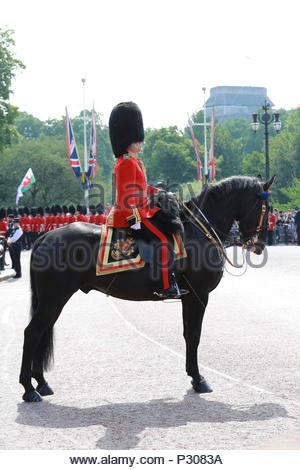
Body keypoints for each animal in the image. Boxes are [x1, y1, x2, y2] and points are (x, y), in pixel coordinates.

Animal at [18, 174, 274, 402]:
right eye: (267, 207)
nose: (259, 246)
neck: (200, 231)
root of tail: (46, 236)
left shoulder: (188, 297)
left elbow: (187, 334)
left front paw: (193, 376)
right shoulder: (199, 295)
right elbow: (194, 335)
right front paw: (199, 379)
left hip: (52, 301)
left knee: (42, 333)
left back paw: (41, 383)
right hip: (53, 299)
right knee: (32, 333)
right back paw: (29, 389)